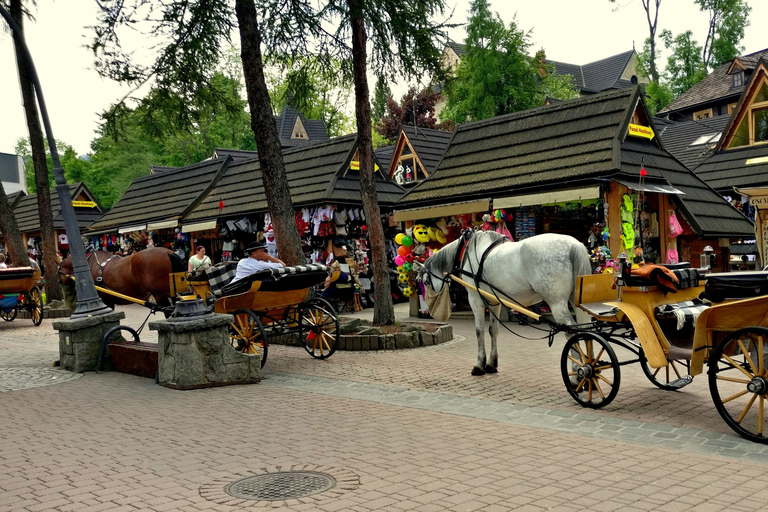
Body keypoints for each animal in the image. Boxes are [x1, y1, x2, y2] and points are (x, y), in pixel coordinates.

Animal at [416, 232, 592, 376]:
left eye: (425, 281)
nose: (429, 311)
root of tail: (573, 245)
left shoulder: (475, 300)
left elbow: (479, 331)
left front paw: (479, 365)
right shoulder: (494, 302)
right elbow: (493, 330)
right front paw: (491, 364)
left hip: (556, 302)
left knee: (571, 332)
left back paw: (577, 372)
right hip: (576, 300)